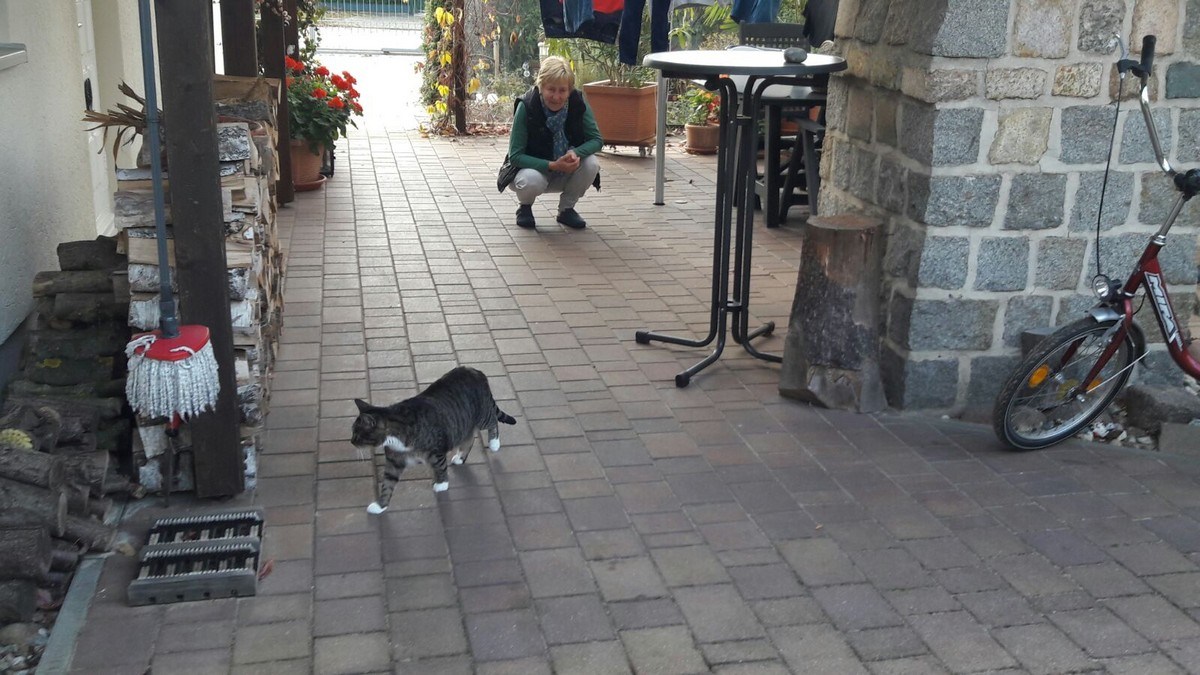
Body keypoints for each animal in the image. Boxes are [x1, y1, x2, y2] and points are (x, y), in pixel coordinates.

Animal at [351, 366, 517, 514]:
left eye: (357, 434)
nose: (351, 441)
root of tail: (475, 370)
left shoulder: (437, 451)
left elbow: (440, 467)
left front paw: (441, 484)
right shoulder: (394, 462)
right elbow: (387, 485)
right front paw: (380, 505)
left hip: (481, 416)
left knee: (493, 420)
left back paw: (494, 443)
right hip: (463, 425)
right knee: (469, 439)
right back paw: (460, 457)